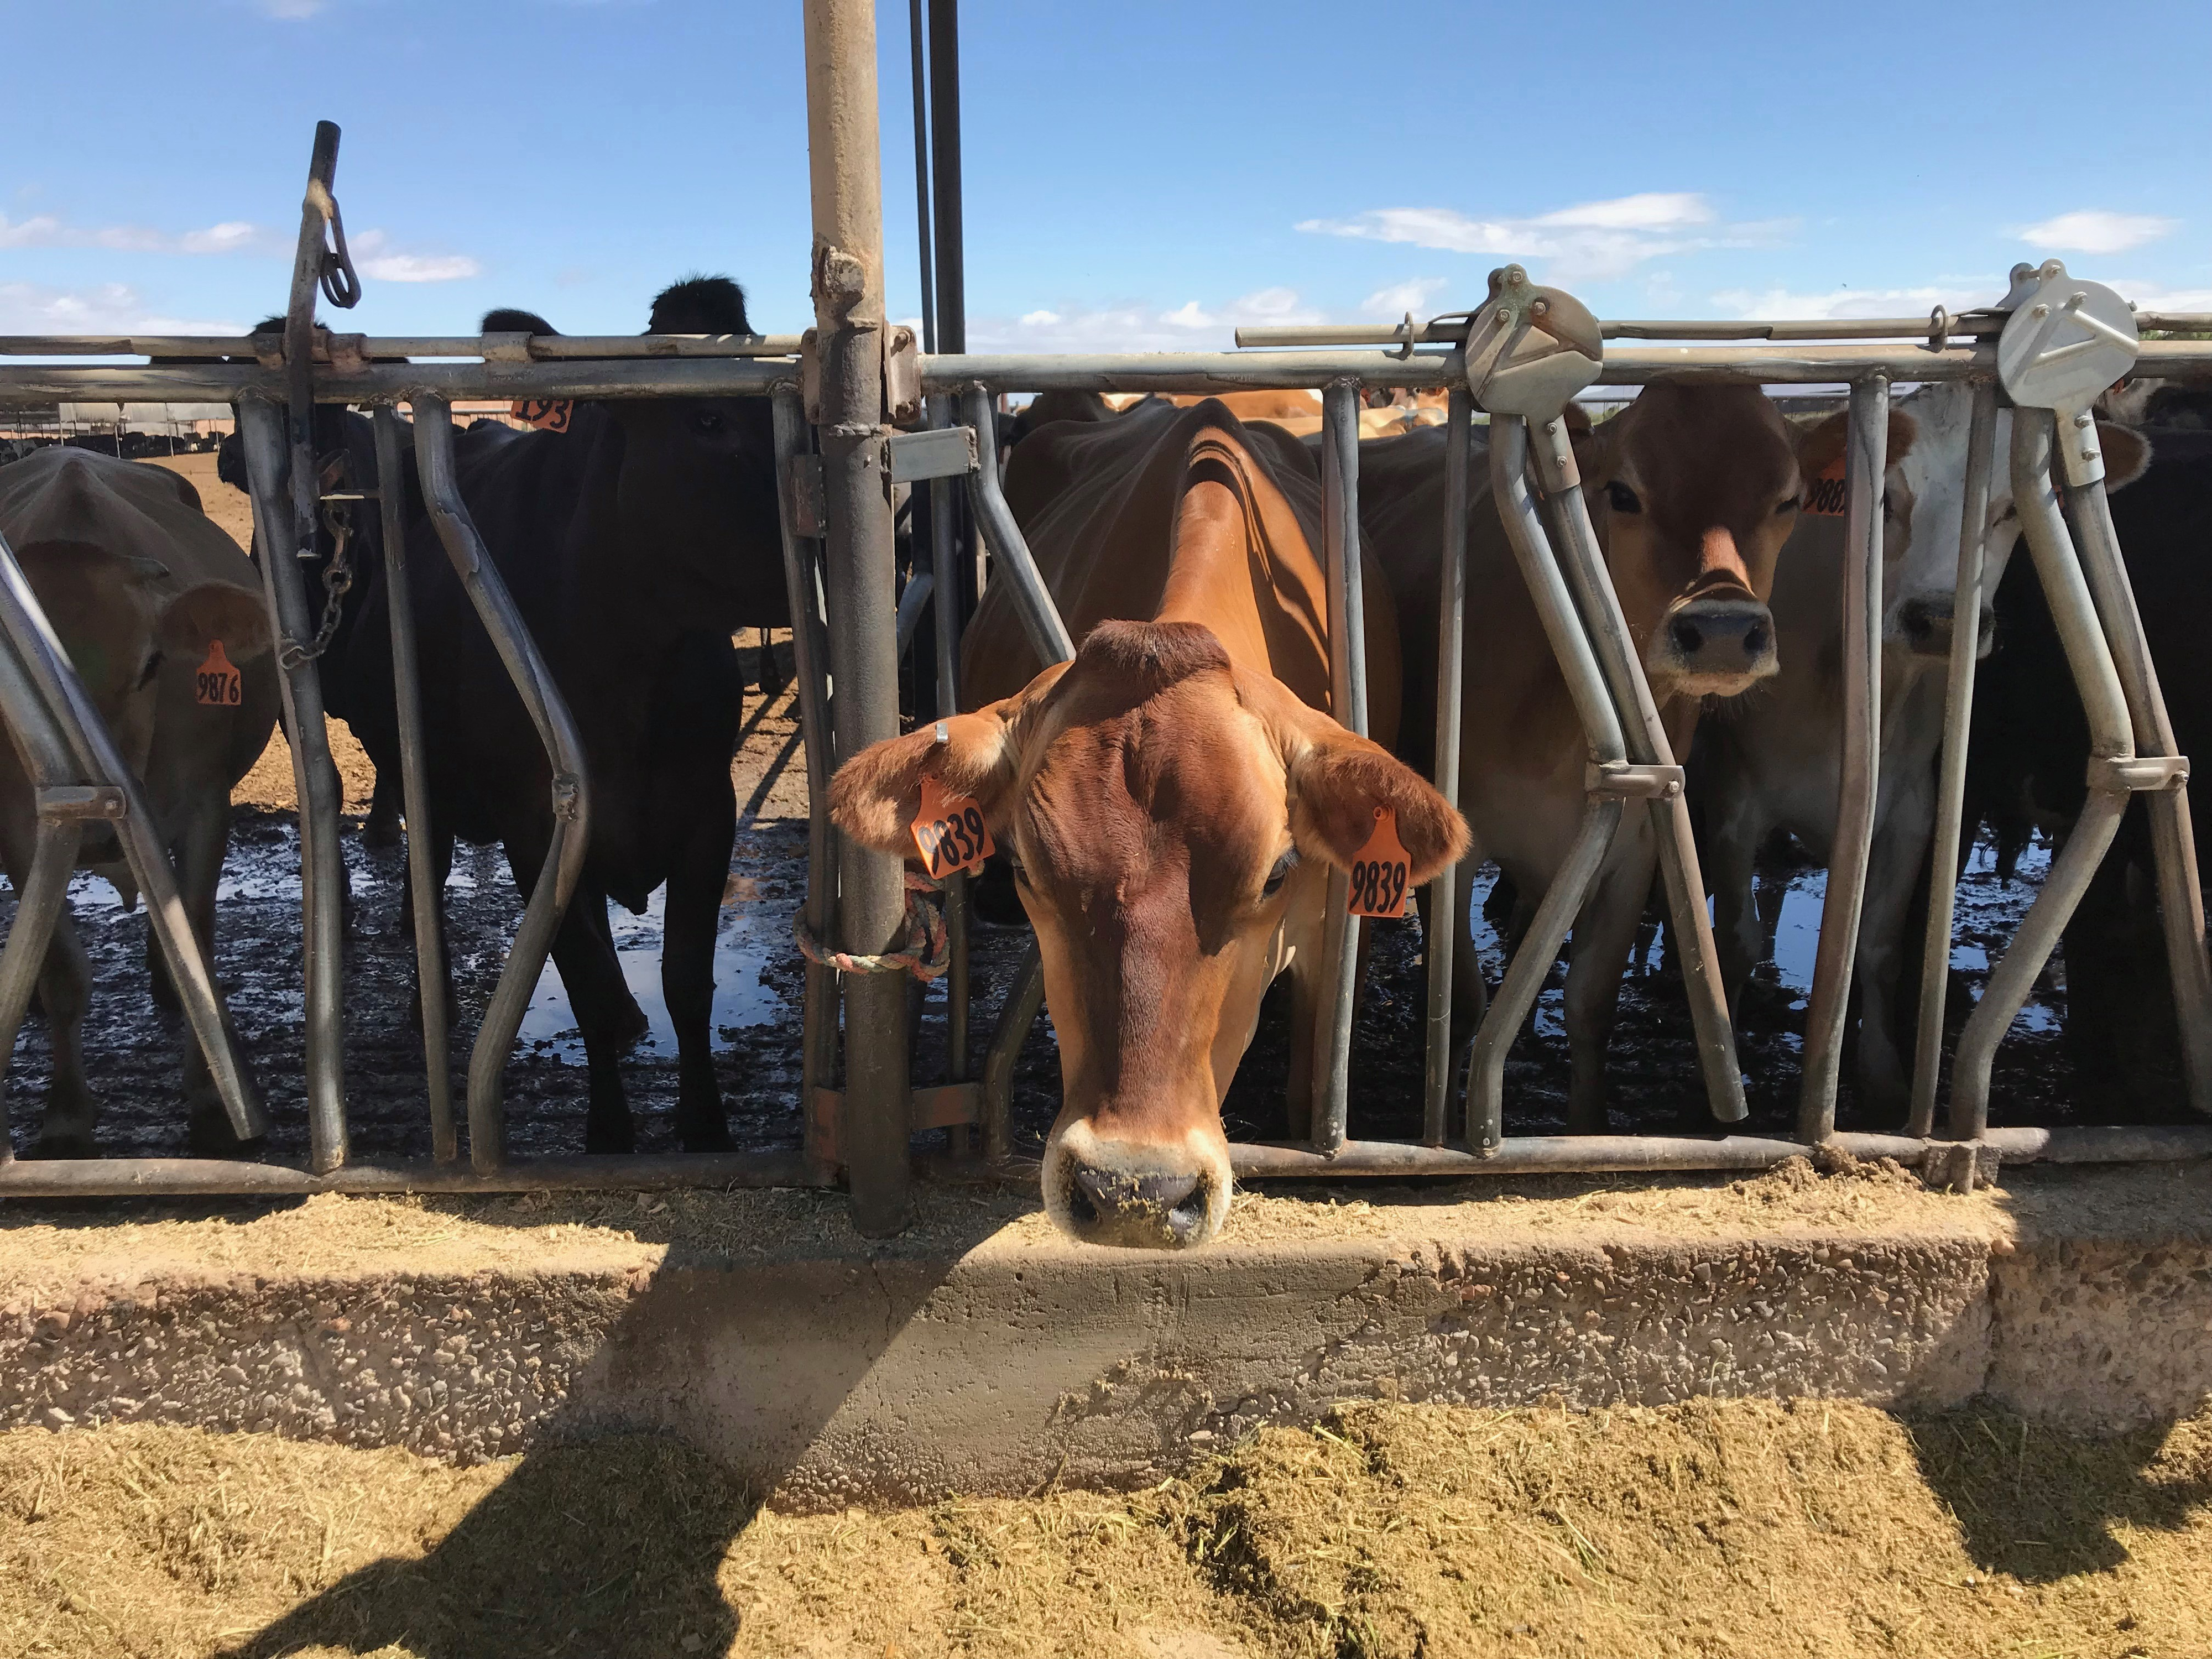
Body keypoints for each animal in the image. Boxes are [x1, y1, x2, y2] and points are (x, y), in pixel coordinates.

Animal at [0, 449, 276, 1159]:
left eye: (152, 664)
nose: (95, 833)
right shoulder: (19, 827)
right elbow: (63, 972)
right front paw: (66, 1117)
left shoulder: (206, 803)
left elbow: (197, 937)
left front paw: (213, 1099)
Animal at [341, 276, 792, 1159]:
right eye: (707, 419)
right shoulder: (536, 819)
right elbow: (577, 975)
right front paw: (609, 1133)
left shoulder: (705, 807)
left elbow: (687, 981)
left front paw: (705, 1125)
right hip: (420, 780)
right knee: (429, 879)